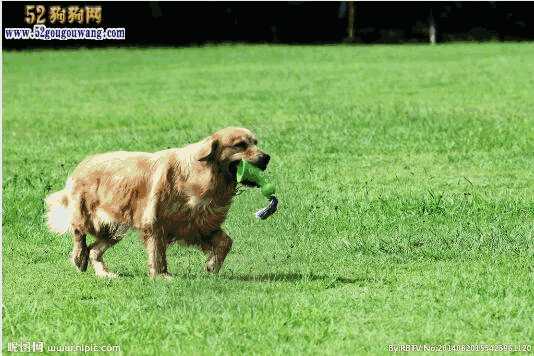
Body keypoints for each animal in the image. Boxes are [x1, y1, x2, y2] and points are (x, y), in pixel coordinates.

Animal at [45, 127, 272, 278]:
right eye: (240, 145)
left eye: (255, 142)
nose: (266, 157)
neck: (203, 176)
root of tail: (82, 164)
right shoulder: (154, 221)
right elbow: (157, 252)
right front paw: (162, 276)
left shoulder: (199, 223)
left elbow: (225, 242)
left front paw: (211, 267)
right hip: (89, 216)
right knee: (79, 234)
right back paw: (78, 259)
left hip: (116, 228)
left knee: (94, 249)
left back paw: (105, 274)